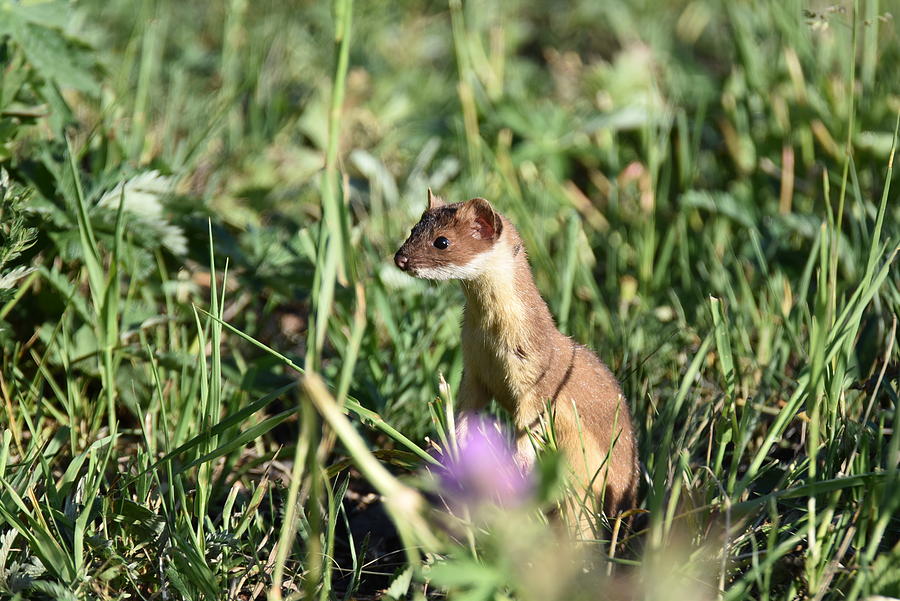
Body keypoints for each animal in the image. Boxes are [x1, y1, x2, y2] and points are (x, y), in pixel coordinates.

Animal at [396, 190, 640, 516]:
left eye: (442, 241)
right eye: (413, 230)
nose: (400, 258)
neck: (491, 344)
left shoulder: (537, 378)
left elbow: (530, 423)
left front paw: (520, 463)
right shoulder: (473, 368)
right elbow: (466, 408)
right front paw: (452, 443)